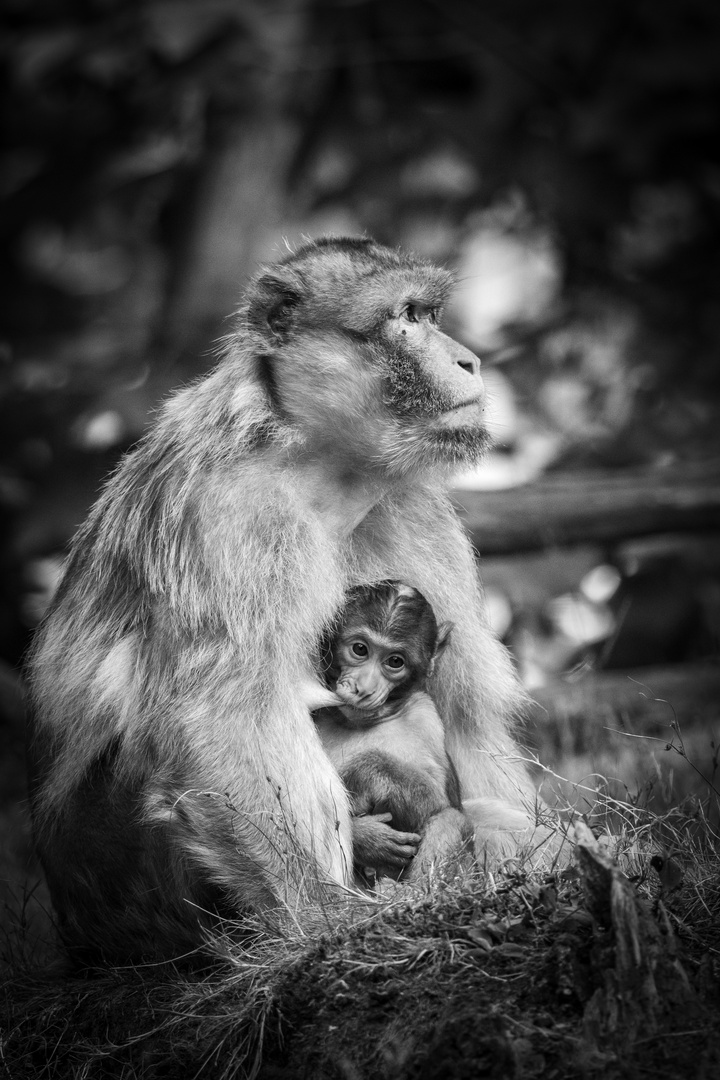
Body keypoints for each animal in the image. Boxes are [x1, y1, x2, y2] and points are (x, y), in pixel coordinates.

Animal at [313, 583, 472, 876]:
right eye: (360, 649)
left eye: (395, 662)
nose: (364, 688)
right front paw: (367, 838)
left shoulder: (425, 717)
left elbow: (440, 803)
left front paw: (363, 772)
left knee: (451, 819)